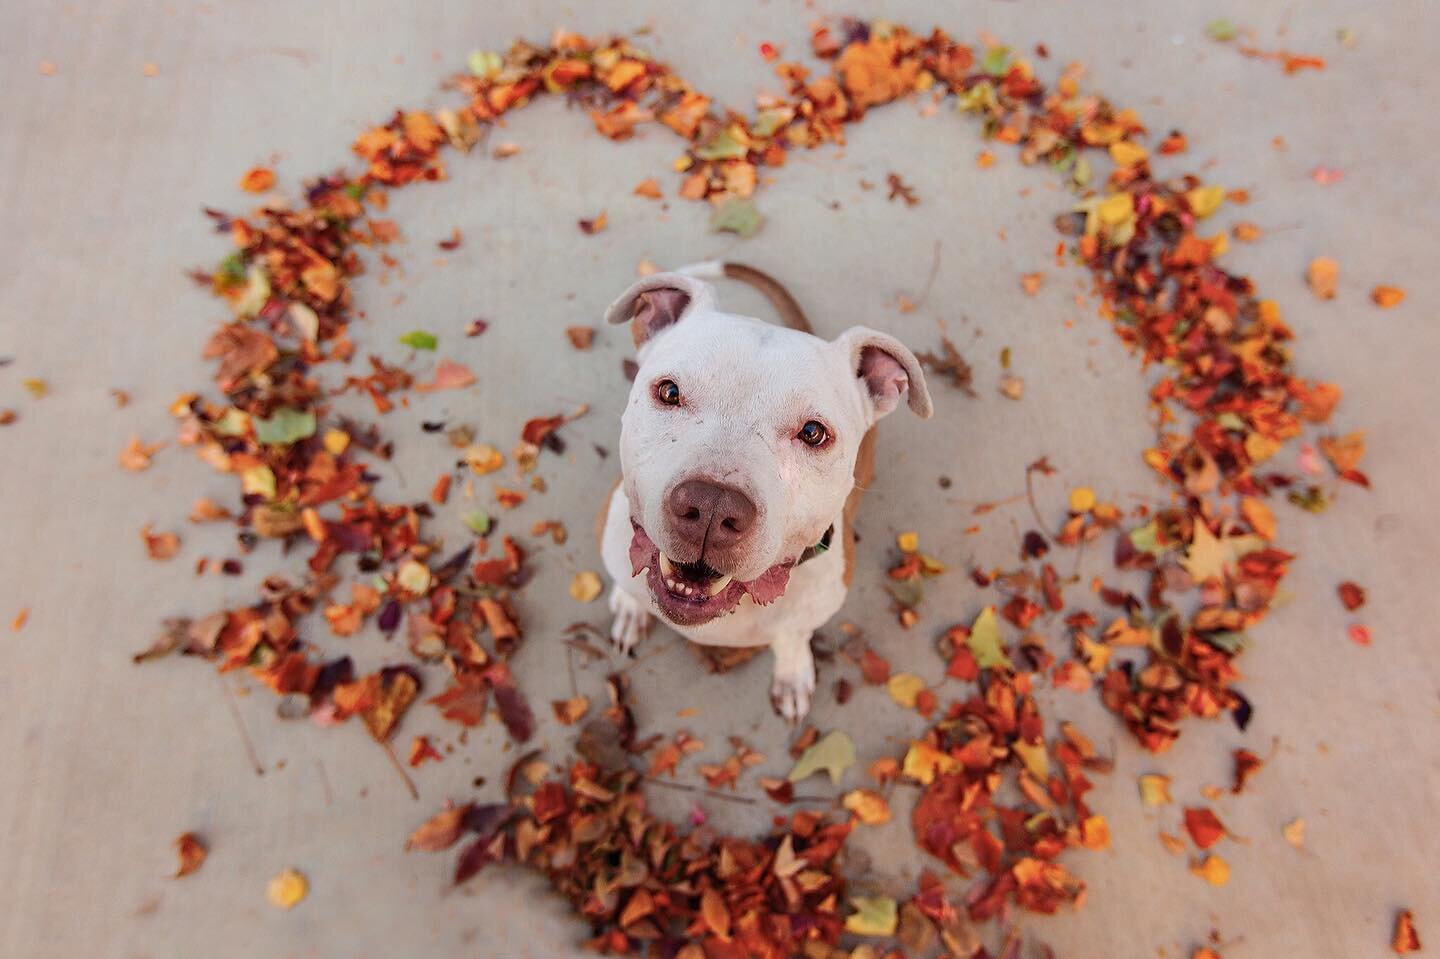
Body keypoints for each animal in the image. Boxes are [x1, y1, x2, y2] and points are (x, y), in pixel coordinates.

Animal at [596, 262, 933, 717]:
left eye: (813, 433)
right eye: (669, 391)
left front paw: (792, 675)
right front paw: (630, 607)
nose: (712, 507)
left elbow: (791, 638)